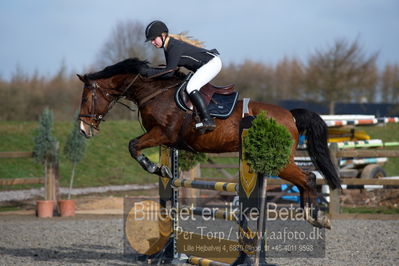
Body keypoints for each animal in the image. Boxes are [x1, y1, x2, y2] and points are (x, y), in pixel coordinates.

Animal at [77, 58, 340, 229]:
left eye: (87, 98)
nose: (83, 129)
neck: (153, 91)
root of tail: (290, 116)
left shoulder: (164, 134)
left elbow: (133, 146)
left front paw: (157, 168)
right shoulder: (163, 138)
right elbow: (136, 147)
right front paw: (162, 169)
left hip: (279, 161)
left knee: (308, 178)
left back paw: (316, 217)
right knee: (306, 179)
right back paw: (314, 216)